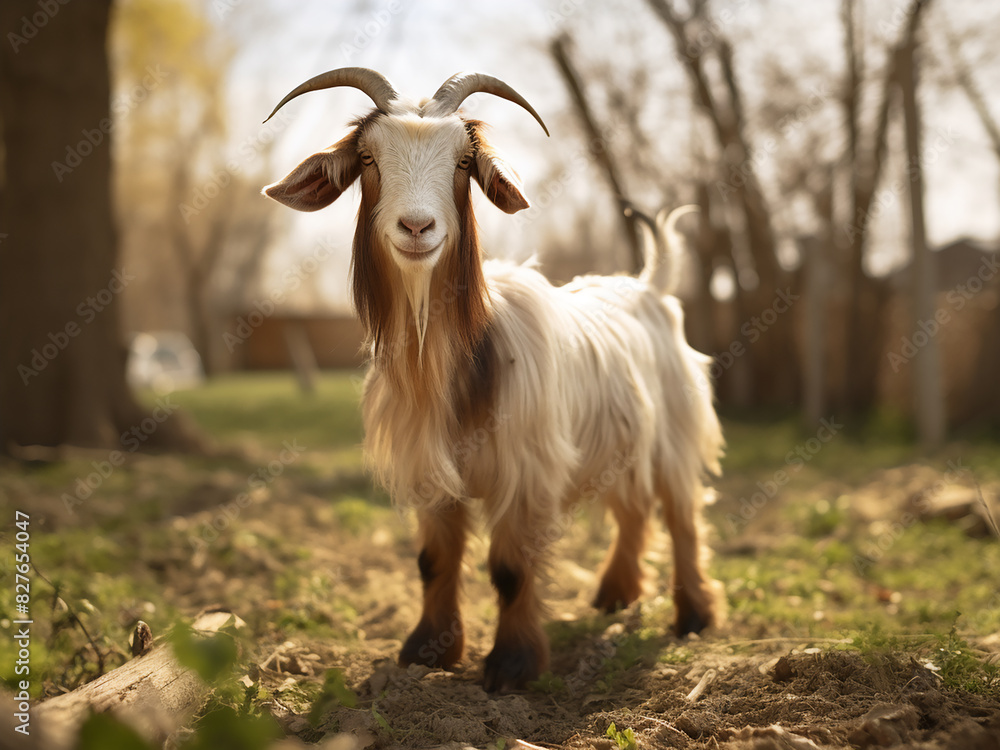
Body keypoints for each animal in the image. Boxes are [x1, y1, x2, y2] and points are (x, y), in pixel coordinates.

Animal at [262, 68, 725, 692]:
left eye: (463, 161)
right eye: (367, 158)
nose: (417, 226)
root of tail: (651, 285)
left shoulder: (524, 471)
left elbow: (510, 569)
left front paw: (512, 667)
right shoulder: (431, 472)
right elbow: (432, 561)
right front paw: (427, 651)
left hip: (675, 431)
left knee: (682, 514)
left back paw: (694, 615)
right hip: (618, 442)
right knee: (633, 510)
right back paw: (615, 594)